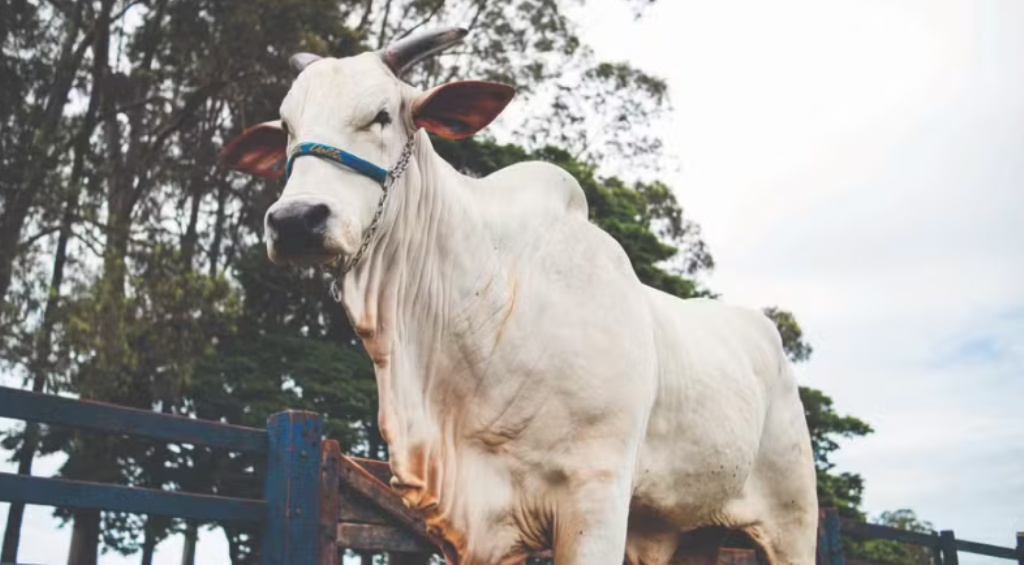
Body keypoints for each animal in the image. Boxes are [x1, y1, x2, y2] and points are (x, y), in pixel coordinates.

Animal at [220, 27, 818, 565]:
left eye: (381, 115)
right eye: (288, 128)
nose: (296, 221)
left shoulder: (596, 496)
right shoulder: (480, 527)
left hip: (794, 521)